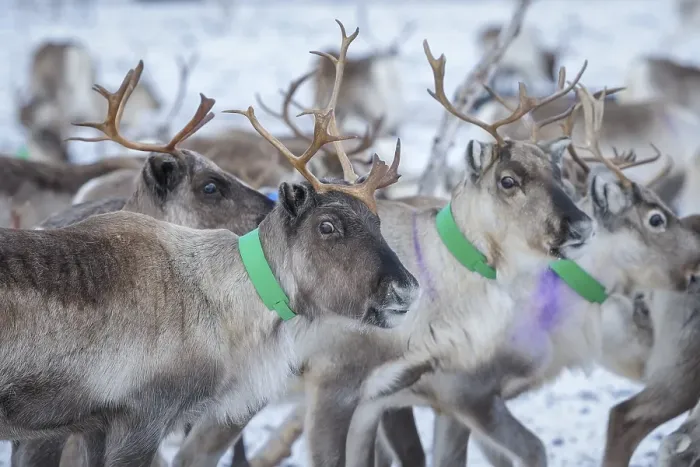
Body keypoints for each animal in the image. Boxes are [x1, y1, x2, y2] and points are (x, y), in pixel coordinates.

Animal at [0, 24, 418, 466]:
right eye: (327, 226)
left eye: (377, 220)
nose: (406, 289)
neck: (220, 298)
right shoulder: (138, 420)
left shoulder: (93, 426)